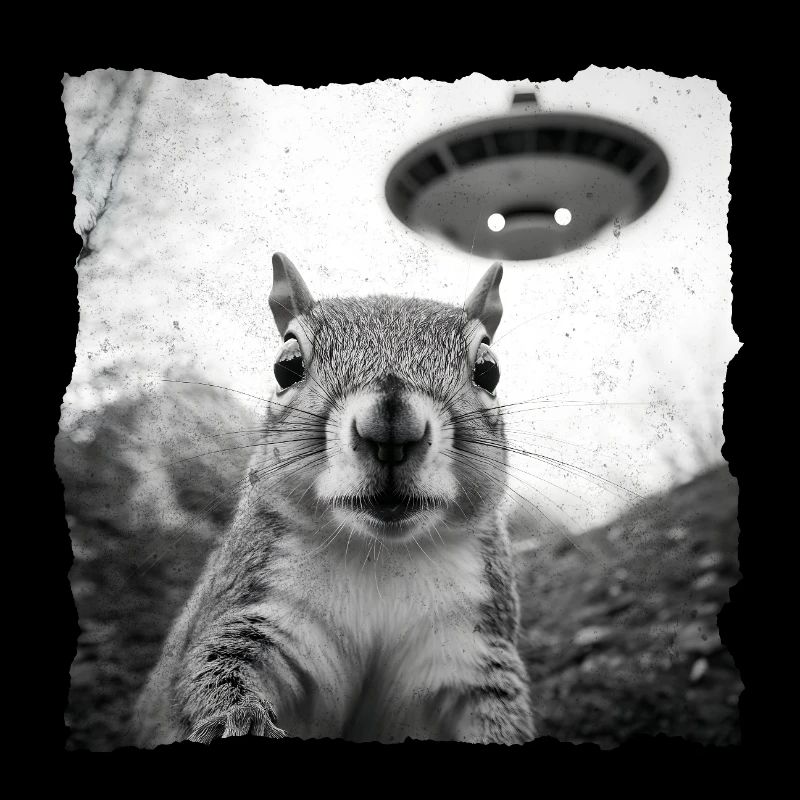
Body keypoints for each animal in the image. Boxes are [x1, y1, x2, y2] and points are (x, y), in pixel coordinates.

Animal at [133, 252, 535, 746]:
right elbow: (216, 667)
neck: (382, 555)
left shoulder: (470, 650)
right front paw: (239, 720)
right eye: (286, 366)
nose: (391, 426)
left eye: (488, 370)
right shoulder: (259, 609)